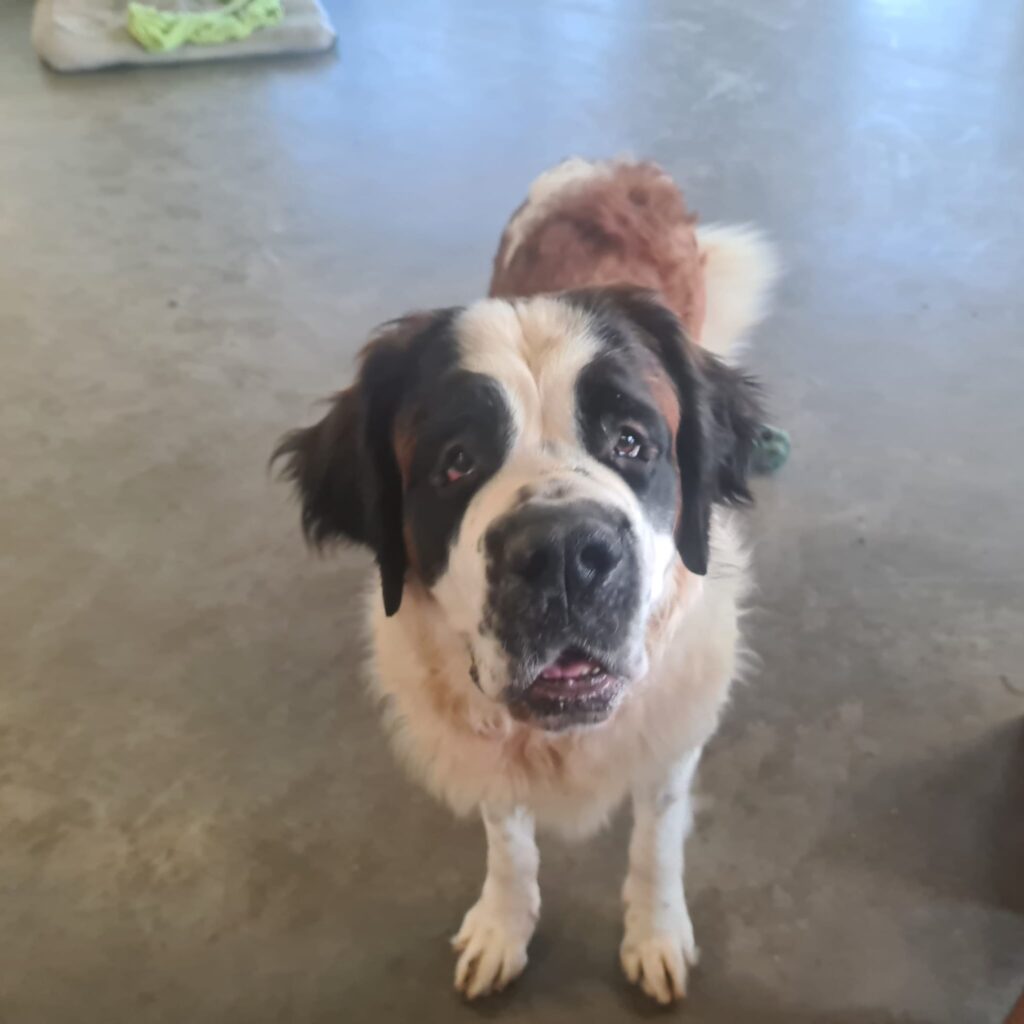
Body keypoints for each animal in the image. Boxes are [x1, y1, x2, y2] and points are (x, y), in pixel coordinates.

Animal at [274, 158, 778, 1004]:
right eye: (456, 462)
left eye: (632, 441)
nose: (566, 553)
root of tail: (618, 166)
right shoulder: (483, 745)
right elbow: (508, 840)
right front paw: (503, 926)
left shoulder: (671, 736)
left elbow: (656, 840)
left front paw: (654, 932)